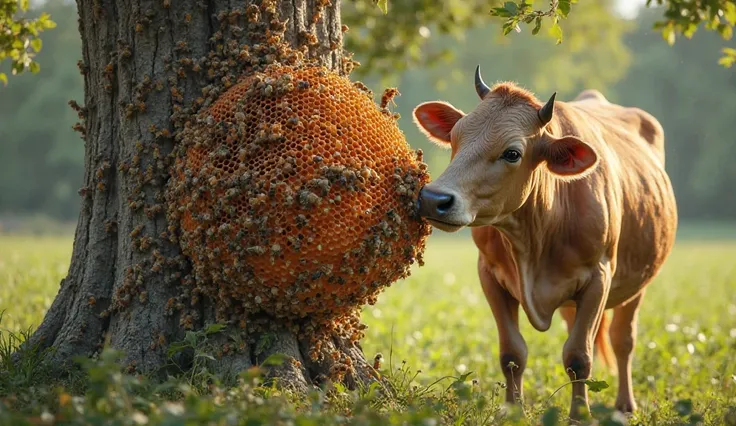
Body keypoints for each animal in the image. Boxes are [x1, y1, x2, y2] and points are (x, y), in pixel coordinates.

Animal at [412, 65, 676, 420]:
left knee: (623, 340)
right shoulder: (489, 275)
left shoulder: (599, 278)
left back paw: (624, 405)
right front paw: (513, 412)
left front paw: (579, 416)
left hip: (638, 281)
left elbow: (578, 357)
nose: (433, 198)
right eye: (455, 137)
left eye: (512, 153)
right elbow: (512, 353)